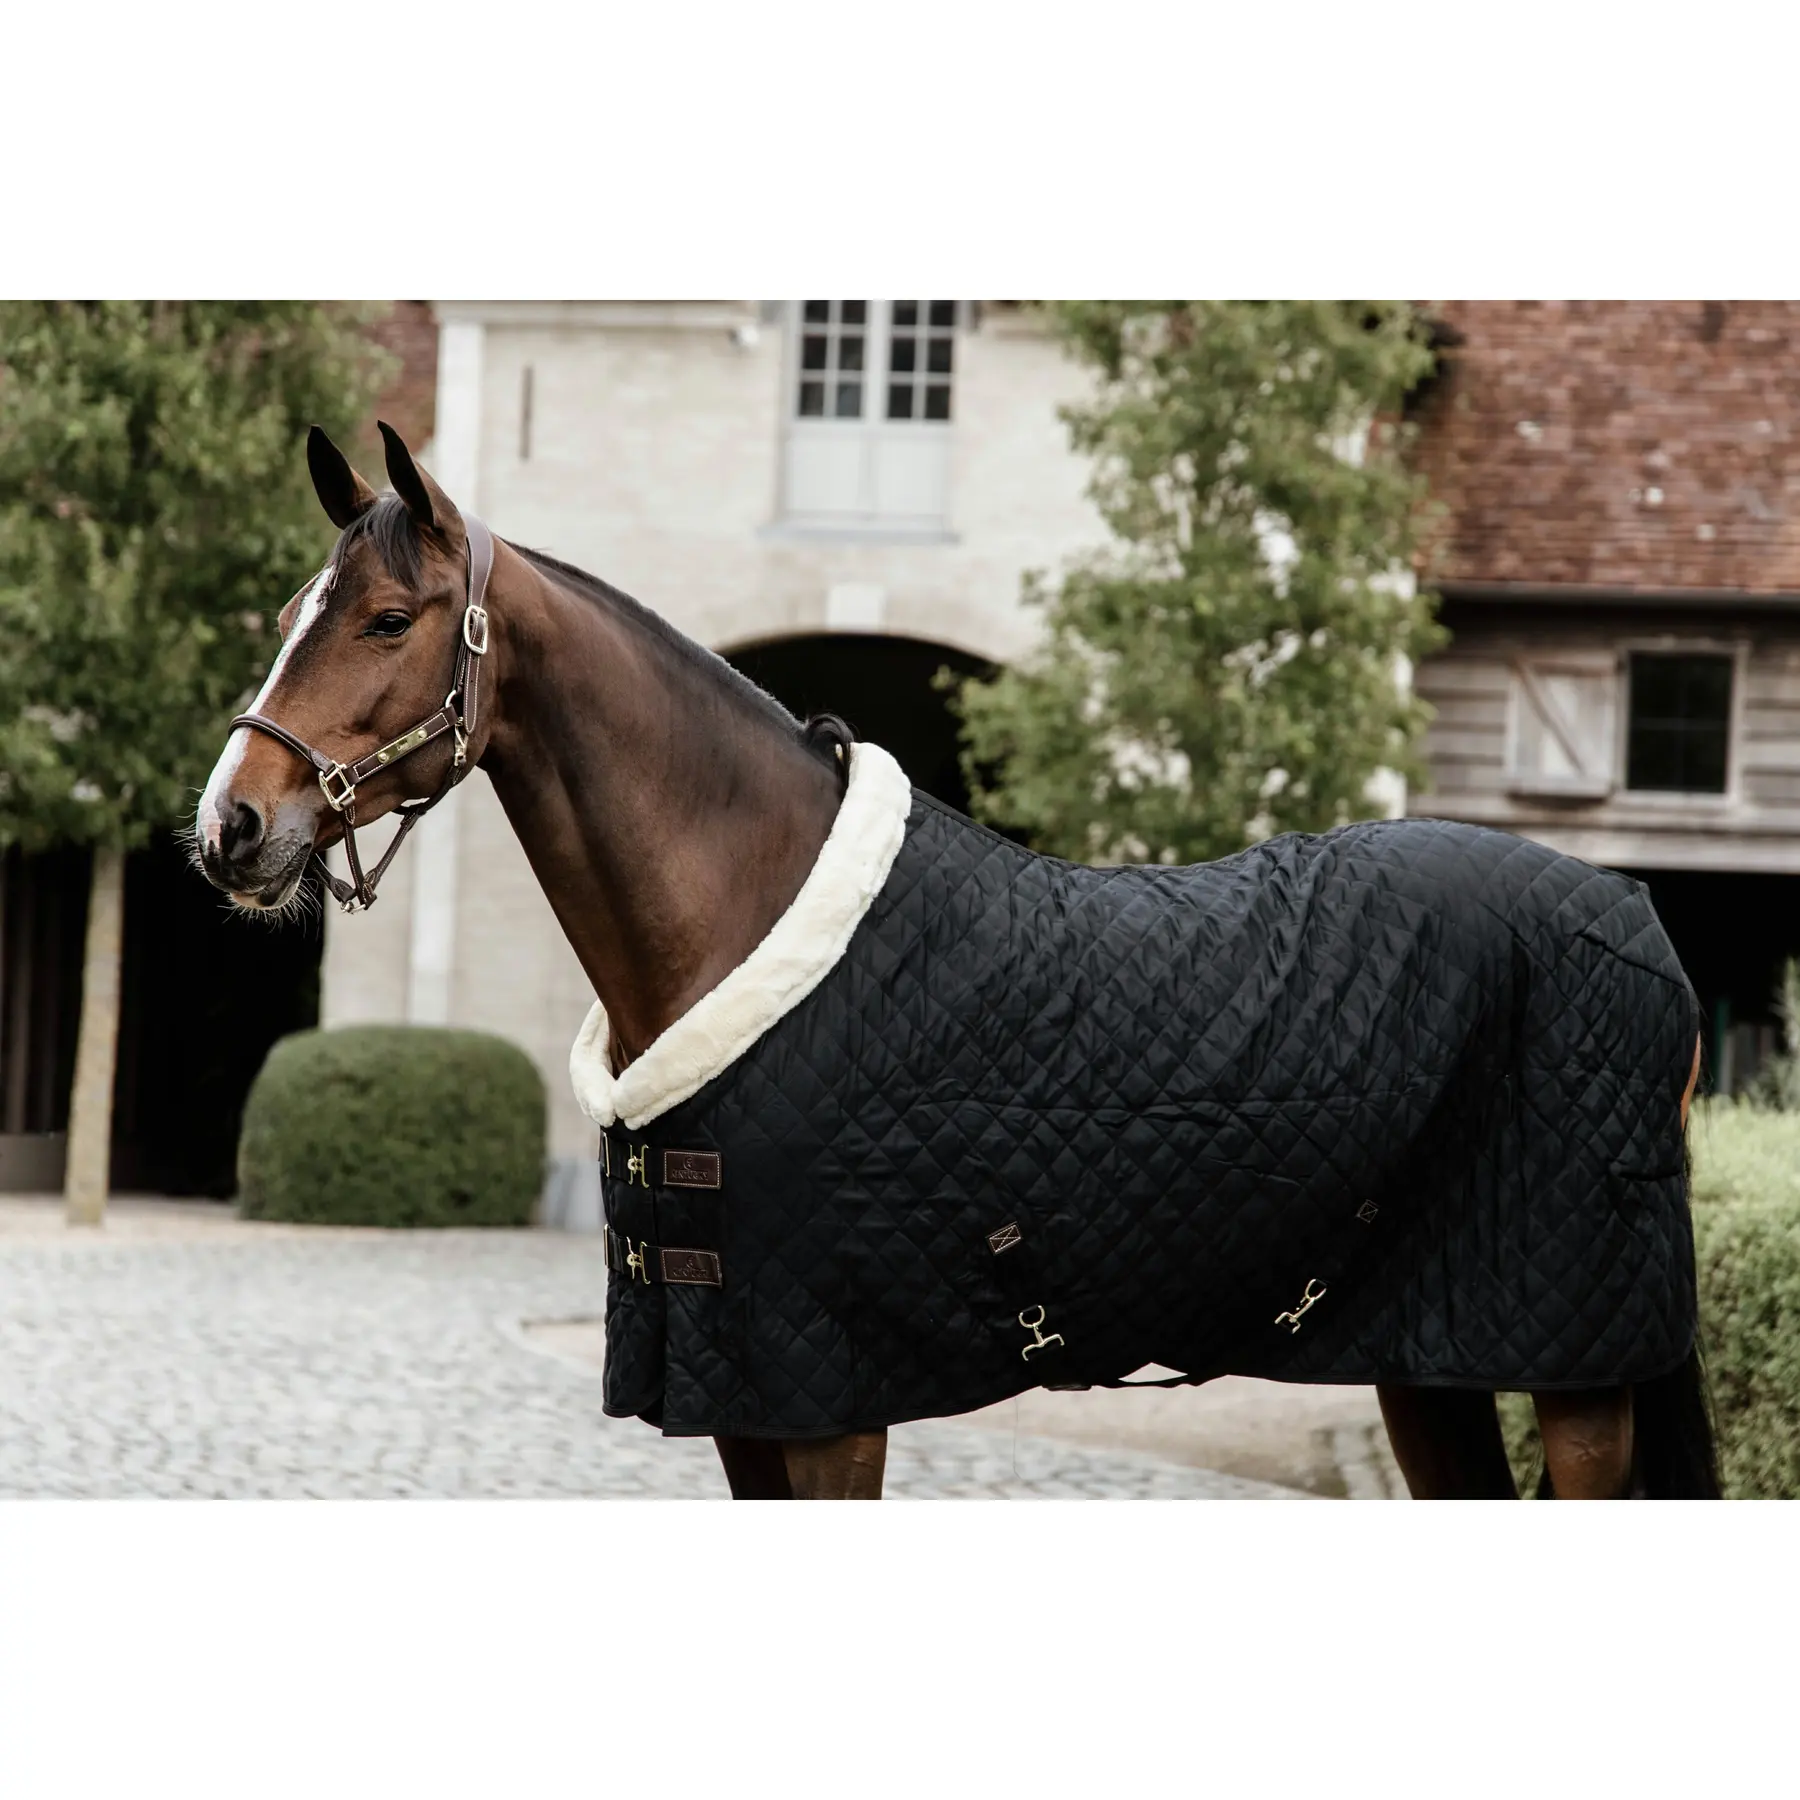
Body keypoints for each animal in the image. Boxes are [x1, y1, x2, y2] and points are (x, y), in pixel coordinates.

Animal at [196, 422, 1718, 1500]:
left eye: (388, 619)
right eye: (286, 613)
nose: (232, 826)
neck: (748, 915)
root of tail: (1636, 921)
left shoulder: (828, 1398)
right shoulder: (743, 1395)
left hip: (1576, 1370)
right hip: (1434, 1355)